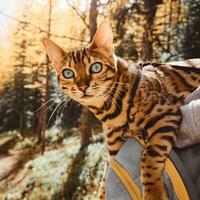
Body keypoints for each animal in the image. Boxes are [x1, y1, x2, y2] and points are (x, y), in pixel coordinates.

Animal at [42, 21, 200, 199]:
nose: (82, 87)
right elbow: (104, 184)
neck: (109, 111)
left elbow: (149, 155)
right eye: (68, 73)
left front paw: (153, 193)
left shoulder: (166, 114)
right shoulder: (113, 151)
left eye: (96, 67)